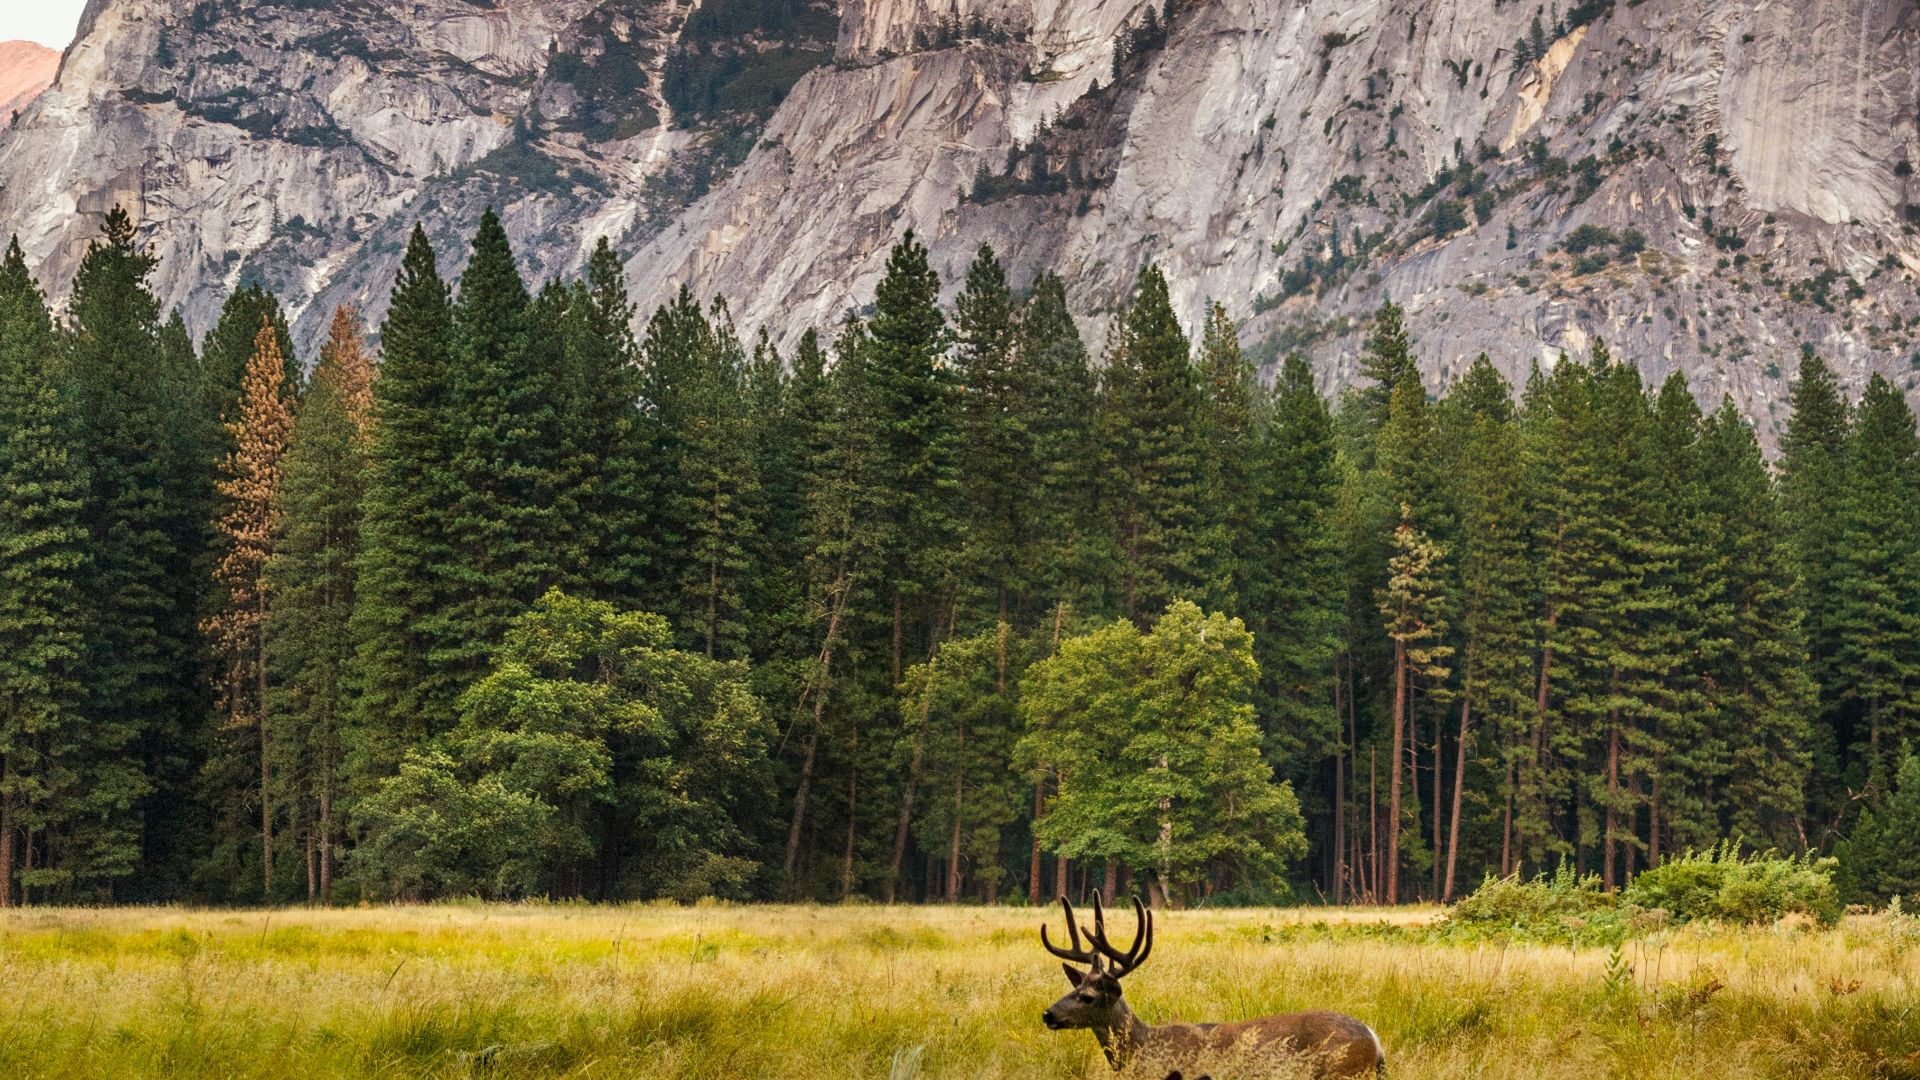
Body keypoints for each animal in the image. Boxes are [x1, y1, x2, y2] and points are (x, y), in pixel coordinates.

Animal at [1040, 892, 1386, 1079]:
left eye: (1087, 996)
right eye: (1072, 988)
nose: (1048, 1014)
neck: (1143, 1047)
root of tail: (1375, 1039)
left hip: (1343, 1072)